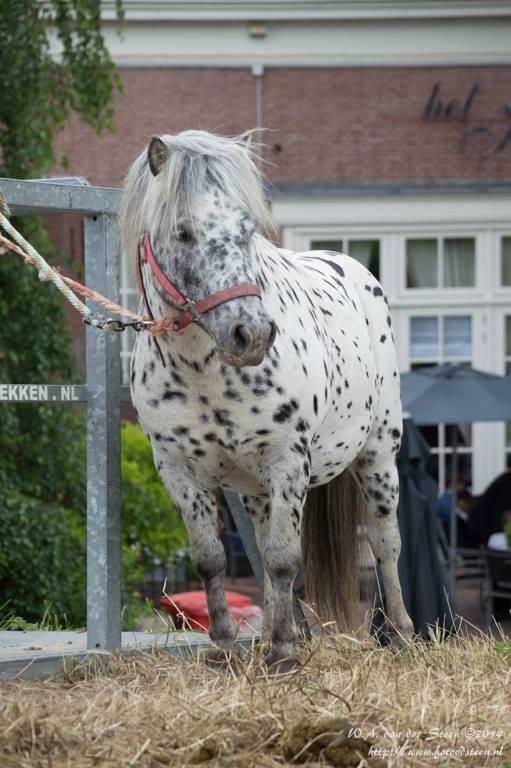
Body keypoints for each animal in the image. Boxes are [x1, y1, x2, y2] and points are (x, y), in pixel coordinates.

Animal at [118, 130, 414, 664]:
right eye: (183, 233)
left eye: (246, 231)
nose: (251, 335)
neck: (204, 375)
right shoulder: (178, 471)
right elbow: (212, 559)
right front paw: (225, 648)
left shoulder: (287, 461)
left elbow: (281, 558)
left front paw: (283, 654)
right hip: (256, 487)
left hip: (379, 456)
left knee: (385, 544)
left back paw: (400, 634)